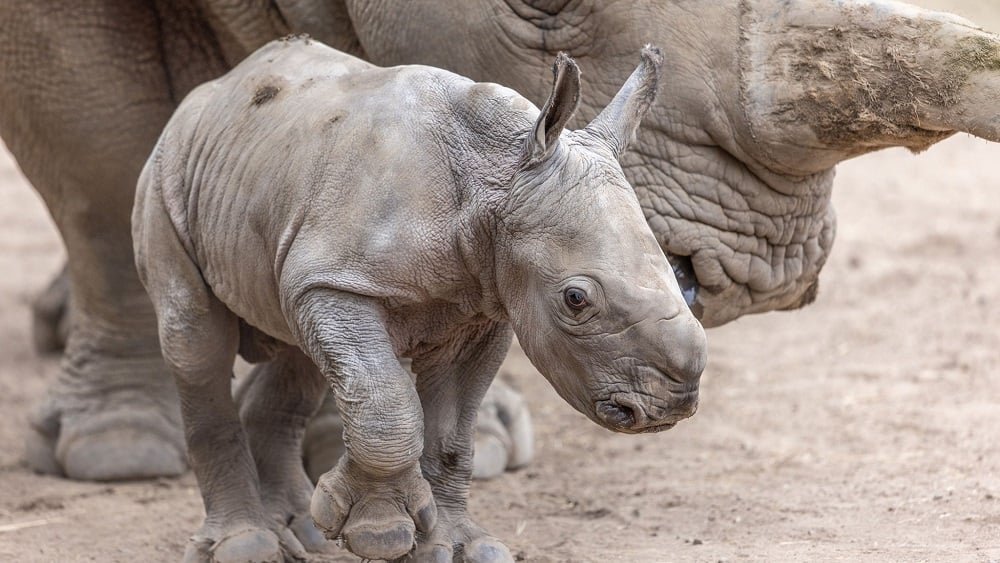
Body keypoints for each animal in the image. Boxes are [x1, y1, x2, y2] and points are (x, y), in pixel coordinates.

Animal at [133, 37, 706, 561]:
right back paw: (246, 544)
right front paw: (378, 533)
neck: (496, 179)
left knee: (296, 351)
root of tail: (215, 91)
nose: (671, 404)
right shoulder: (340, 280)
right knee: (195, 341)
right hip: (166, 176)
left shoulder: (483, 307)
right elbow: (385, 404)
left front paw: (459, 547)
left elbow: (452, 432)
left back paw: (303, 534)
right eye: (576, 299)